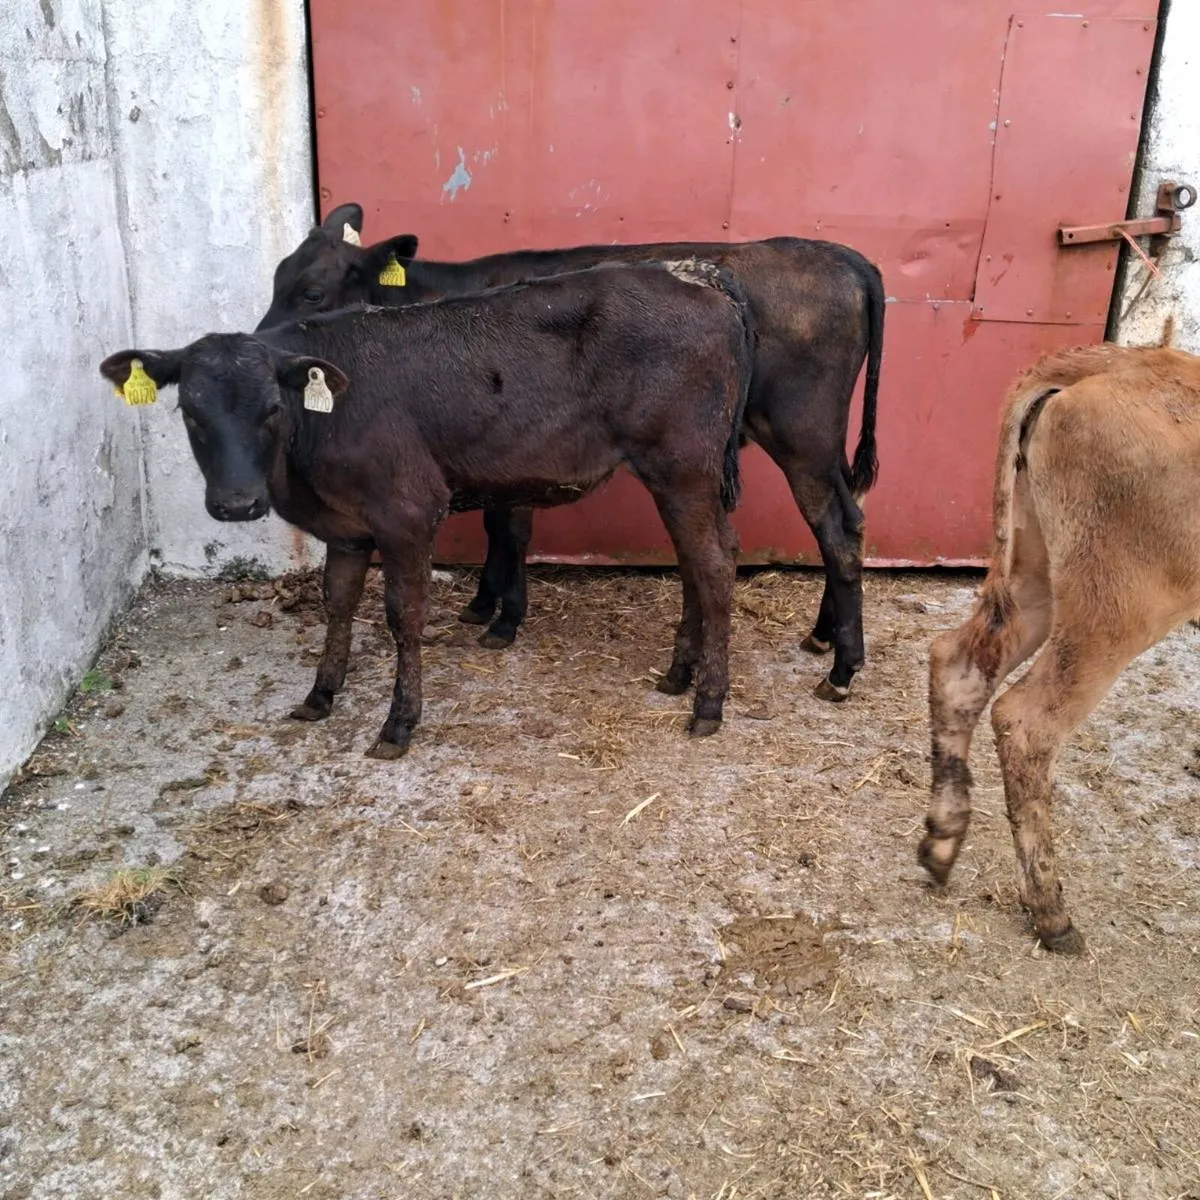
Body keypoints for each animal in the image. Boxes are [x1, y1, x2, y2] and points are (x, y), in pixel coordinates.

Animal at [101, 261, 755, 759]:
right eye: (190, 412)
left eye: (272, 408)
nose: (238, 504)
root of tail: (700, 279)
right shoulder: (347, 527)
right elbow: (338, 603)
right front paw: (321, 694)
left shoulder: (409, 510)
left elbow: (402, 616)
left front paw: (398, 724)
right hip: (678, 476)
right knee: (698, 560)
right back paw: (679, 675)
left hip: (681, 464)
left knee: (715, 565)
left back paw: (709, 702)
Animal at [256, 202, 885, 704]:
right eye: (277, 275)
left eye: (311, 292)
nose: (264, 346)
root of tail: (844, 256)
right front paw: (485, 604)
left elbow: (507, 530)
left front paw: (502, 618)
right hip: (815, 443)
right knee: (849, 518)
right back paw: (824, 637)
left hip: (800, 434)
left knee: (833, 528)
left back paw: (842, 669)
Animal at [920, 344, 1200, 953]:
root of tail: (1114, 361)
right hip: (1120, 604)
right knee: (1027, 720)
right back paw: (1051, 912)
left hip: (1037, 569)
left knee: (959, 663)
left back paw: (941, 843)